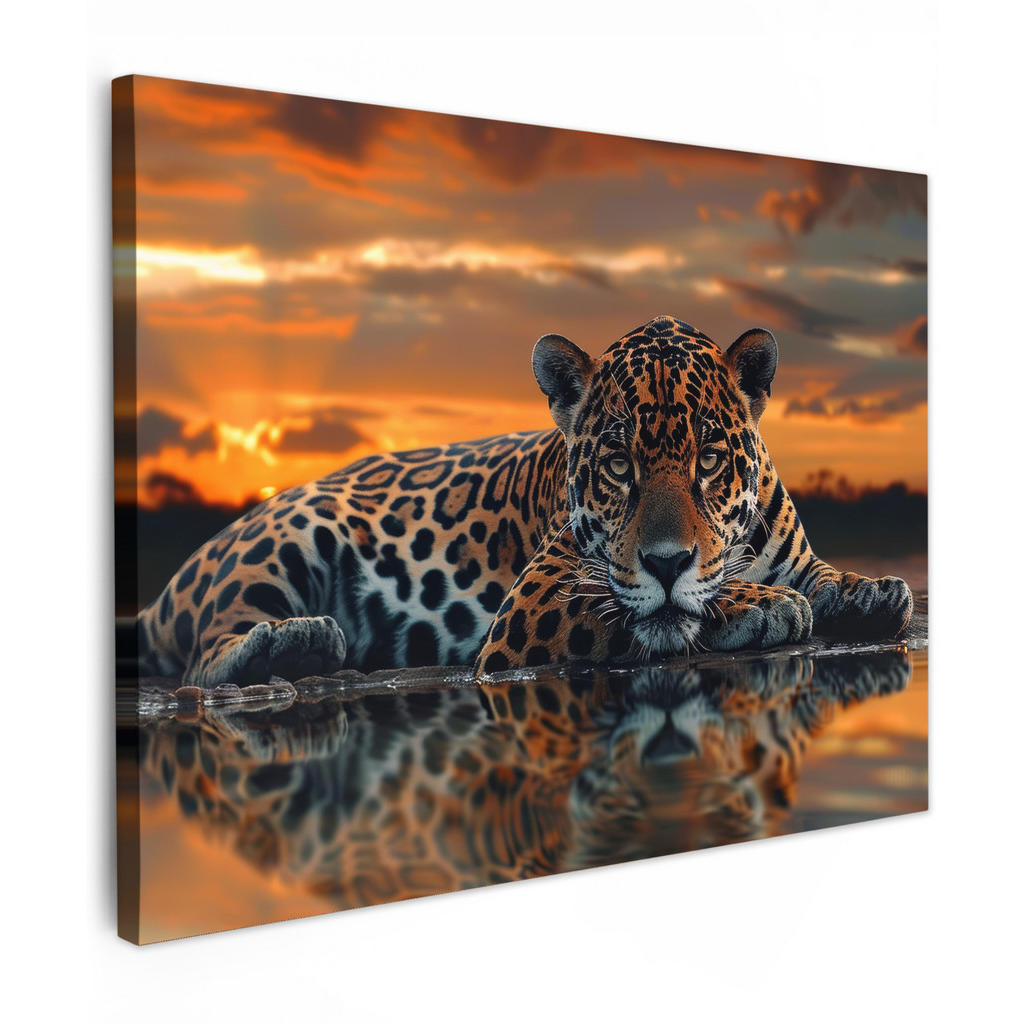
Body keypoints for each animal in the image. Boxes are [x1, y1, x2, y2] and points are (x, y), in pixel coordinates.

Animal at [136, 315, 912, 685]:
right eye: (618, 465)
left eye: (710, 459)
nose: (666, 562)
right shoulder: (535, 602)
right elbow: (653, 610)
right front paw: (764, 605)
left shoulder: (793, 553)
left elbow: (822, 575)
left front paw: (871, 590)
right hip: (288, 536)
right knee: (205, 656)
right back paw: (296, 643)